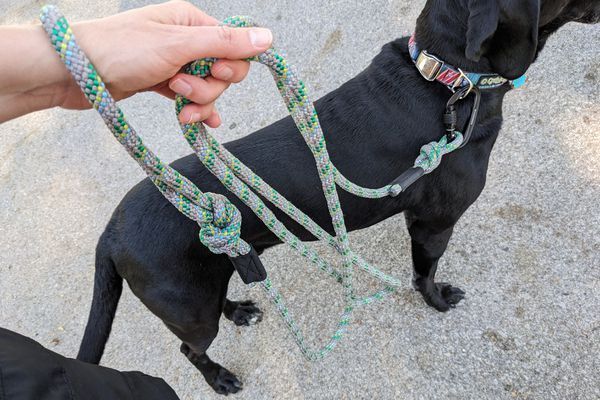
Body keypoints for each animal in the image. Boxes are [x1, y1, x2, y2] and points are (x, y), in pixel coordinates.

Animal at [76, 0, 600, 394]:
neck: (448, 81)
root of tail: (108, 233)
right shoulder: (434, 224)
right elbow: (424, 273)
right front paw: (437, 300)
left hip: (209, 277)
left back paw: (241, 310)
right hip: (189, 306)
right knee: (191, 349)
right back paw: (220, 378)